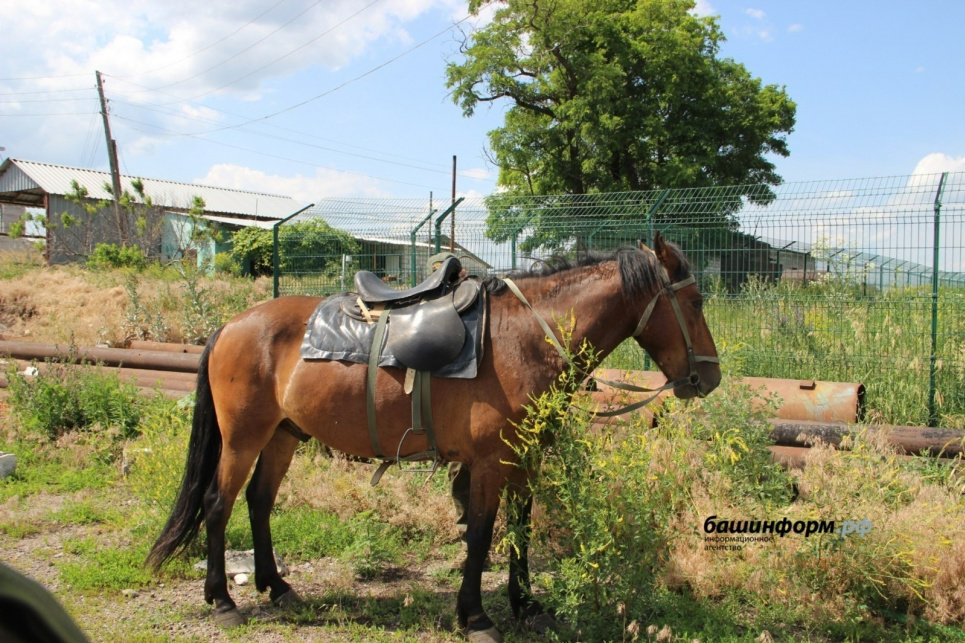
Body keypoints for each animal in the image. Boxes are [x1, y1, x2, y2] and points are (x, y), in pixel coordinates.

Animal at [145, 234, 716, 640]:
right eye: (694, 302)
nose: (709, 377)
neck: (527, 338)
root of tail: (230, 325)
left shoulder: (525, 459)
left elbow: (521, 531)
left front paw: (528, 606)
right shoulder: (488, 462)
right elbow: (482, 534)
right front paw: (476, 617)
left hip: (283, 435)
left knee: (260, 502)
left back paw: (278, 587)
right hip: (243, 437)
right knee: (218, 504)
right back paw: (222, 601)